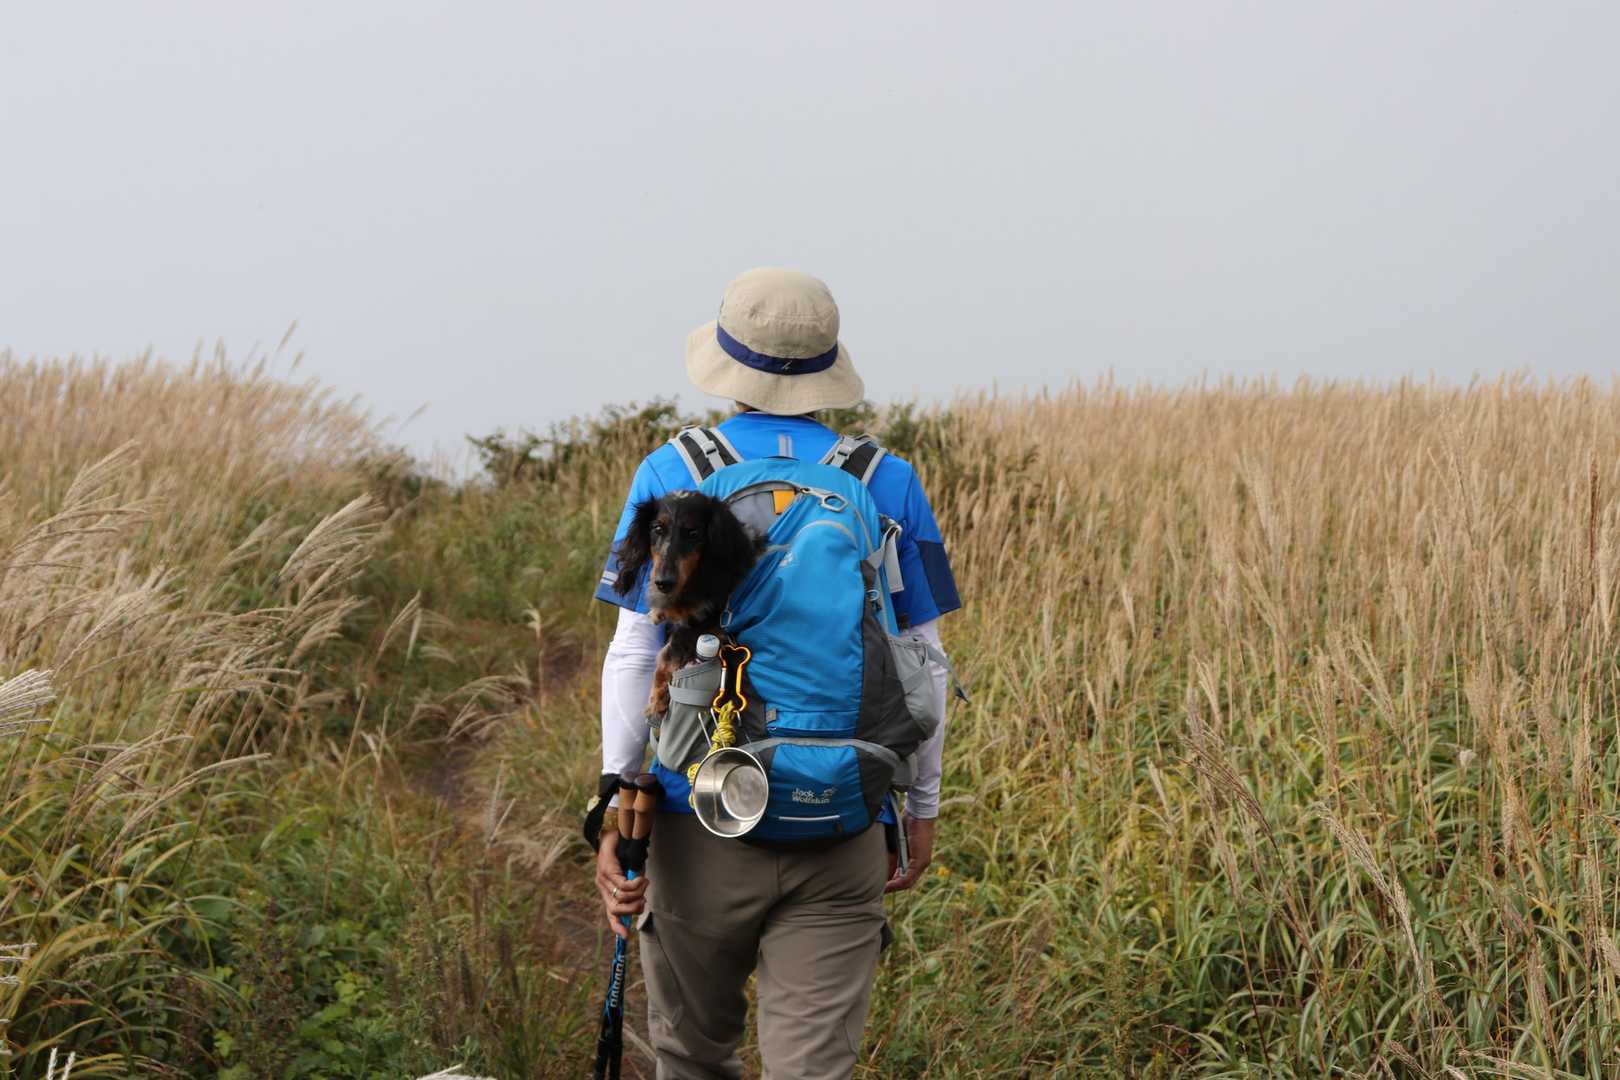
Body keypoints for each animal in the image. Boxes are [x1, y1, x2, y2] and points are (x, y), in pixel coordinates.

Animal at [612, 490, 764, 718]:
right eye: (657, 528)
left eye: (693, 532)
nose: (663, 583)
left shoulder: (714, 619)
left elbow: (669, 651)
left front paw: (656, 700)